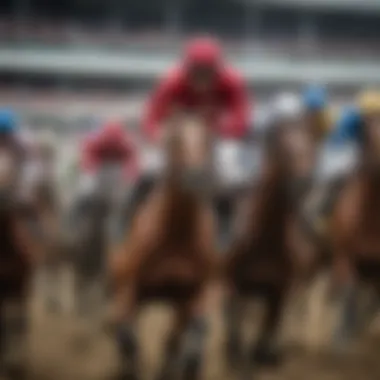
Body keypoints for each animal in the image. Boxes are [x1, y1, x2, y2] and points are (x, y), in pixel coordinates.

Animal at [108, 115, 218, 380]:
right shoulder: (129, 289)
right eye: (174, 139)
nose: (197, 176)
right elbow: (128, 337)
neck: (175, 237)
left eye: (208, 137)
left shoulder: (194, 293)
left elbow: (186, 339)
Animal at [223, 117, 318, 378]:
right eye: (284, 150)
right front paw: (234, 356)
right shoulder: (234, 284)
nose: (303, 184)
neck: (264, 243)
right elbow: (235, 324)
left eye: (311, 146)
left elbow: (264, 333)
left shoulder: (278, 292)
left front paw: (264, 356)